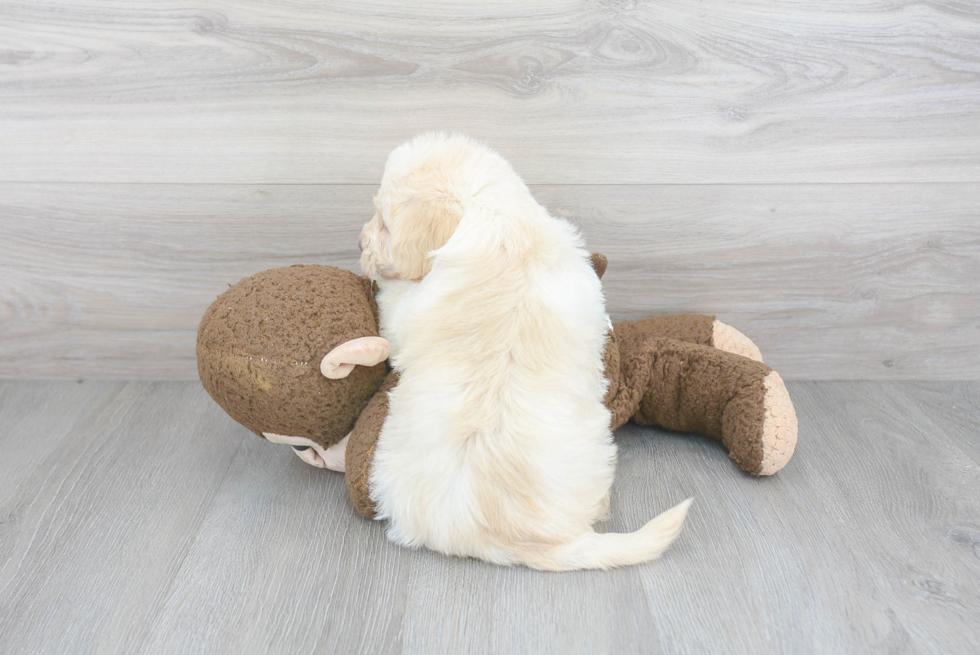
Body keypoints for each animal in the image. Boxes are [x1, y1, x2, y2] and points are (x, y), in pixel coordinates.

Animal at [358, 133, 688, 568]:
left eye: (384, 224)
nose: (359, 242)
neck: (501, 218)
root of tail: (511, 539)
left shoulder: (405, 313)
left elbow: (393, 306)